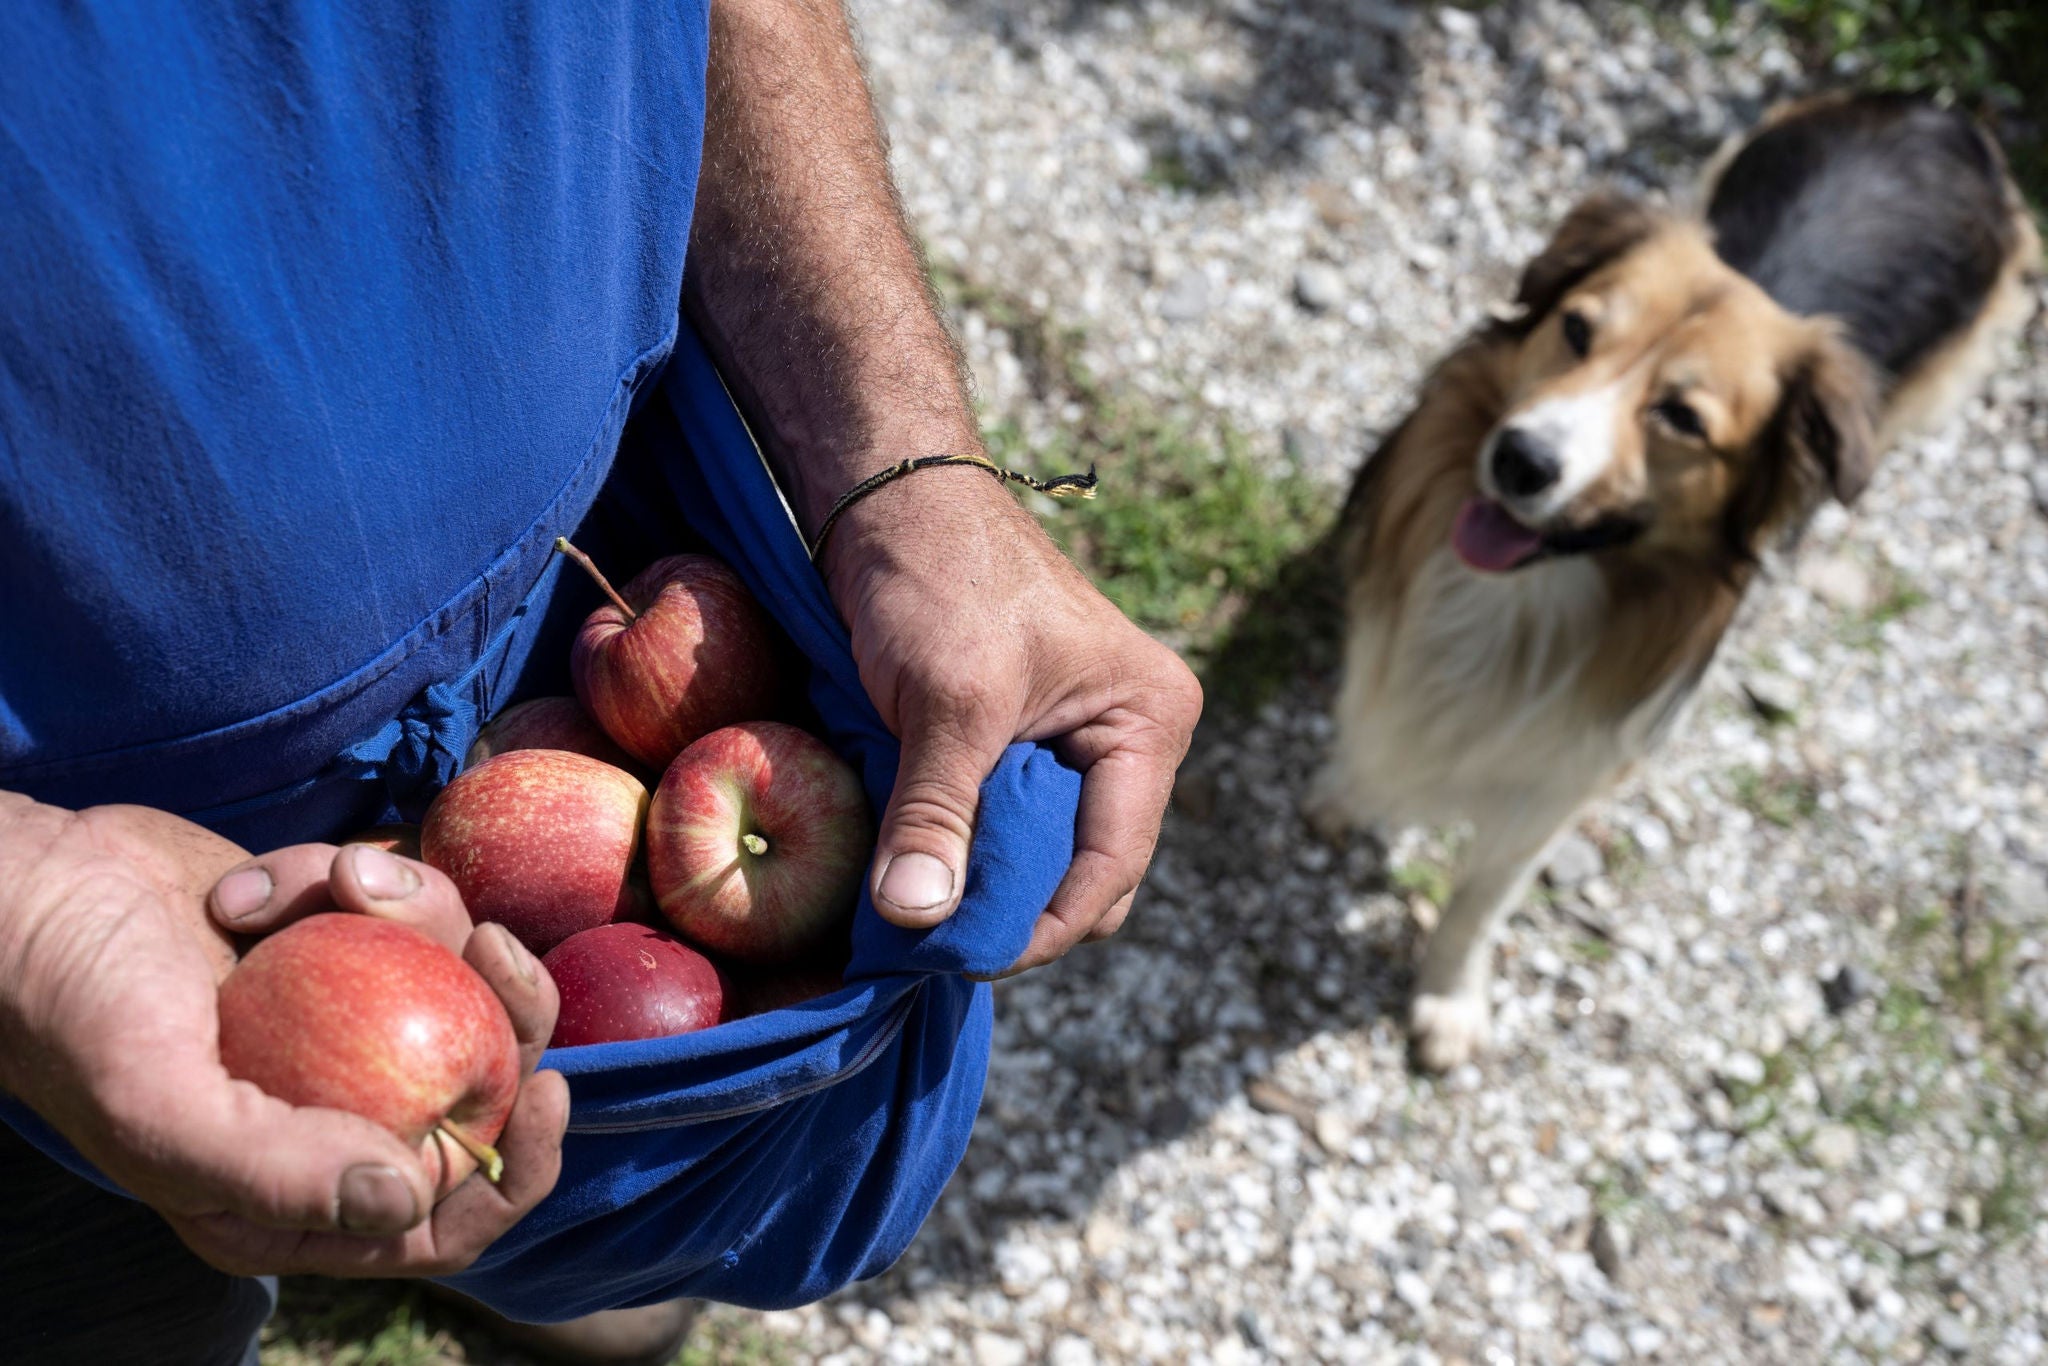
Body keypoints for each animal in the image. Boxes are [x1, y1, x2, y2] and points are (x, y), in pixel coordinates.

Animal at [1302, 98, 2039, 1081]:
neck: (1533, 596)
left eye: (1682, 418)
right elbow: (1365, 720)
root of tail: (1945, 116)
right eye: (1577, 331)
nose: (1520, 459)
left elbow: (1484, 894)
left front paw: (1450, 1000)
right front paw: (1345, 793)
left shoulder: (1563, 777)